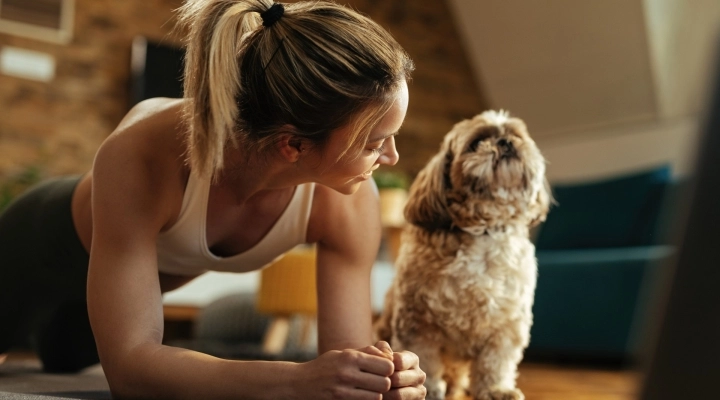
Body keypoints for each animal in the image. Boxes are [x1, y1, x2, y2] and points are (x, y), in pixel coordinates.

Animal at [376, 110, 552, 400]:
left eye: (516, 135)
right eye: (476, 143)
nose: (505, 142)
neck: (485, 231)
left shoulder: (506, 325)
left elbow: (496, 362)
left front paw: (495, 389)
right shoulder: (418, 323)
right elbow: (424, 360)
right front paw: (428, 389)